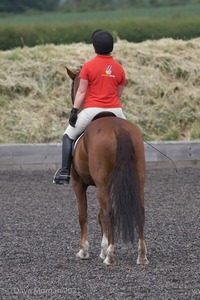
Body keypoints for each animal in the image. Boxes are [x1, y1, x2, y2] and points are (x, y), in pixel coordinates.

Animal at [65, 67, 148, 264]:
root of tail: (119, 128)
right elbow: (99, 215)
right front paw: (101, 249)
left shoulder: (78, 183)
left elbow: (84, 215)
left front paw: (84, 251)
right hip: (138, 179)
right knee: (139, 211)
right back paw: (141, 255)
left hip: (103, 183)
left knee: (109, 211)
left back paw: (110, 255)